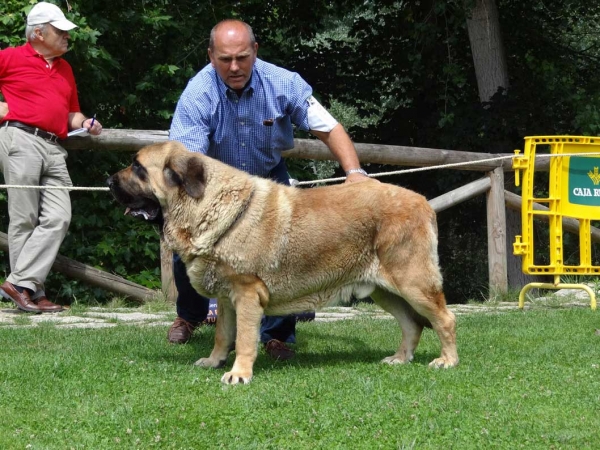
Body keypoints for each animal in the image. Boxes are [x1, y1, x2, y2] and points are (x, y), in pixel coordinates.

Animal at [106, 141, 460, 384]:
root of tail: (423, 202)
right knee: (412, 323)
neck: (205, 205)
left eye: (138, 168)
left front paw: (239, 373)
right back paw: (400, 358)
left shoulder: (247, 293)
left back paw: (447, 361)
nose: (109, 180)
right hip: (383, 289)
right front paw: (214, 360)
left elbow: (245, 337)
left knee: (445, 319)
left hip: (413, 282)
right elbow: (223, 335)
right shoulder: (226, 297)